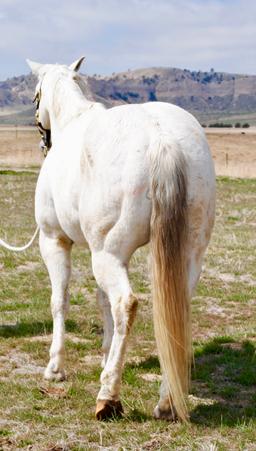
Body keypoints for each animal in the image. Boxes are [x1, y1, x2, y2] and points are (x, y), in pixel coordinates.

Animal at [26, 57, 216, 424]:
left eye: (35, 97)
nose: (43, 141)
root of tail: (162, 138)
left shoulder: (55, 242)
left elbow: (60, 301)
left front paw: (55, 368)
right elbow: (102, 304)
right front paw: (104, 354)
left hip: (108, 256)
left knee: (125, 304)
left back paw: (108, 397)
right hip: (185, 258)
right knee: (171, 313)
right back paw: (166, 403)